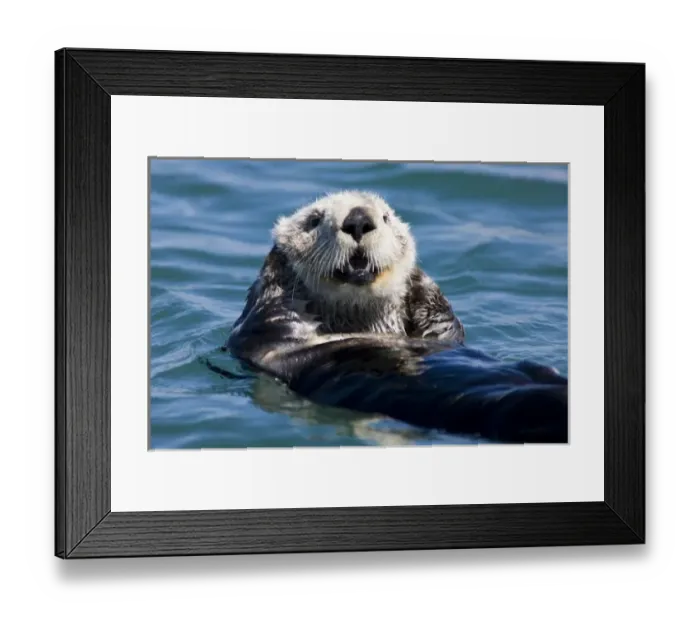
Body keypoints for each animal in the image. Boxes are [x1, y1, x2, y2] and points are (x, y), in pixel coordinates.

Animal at [223, 191, 568, 443]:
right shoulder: (265, 338)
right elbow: (275, 316)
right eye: (314, 220)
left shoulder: (445, 335)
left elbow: (446, 325)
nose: (359, 219)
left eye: (386, 218)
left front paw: (419, 280)